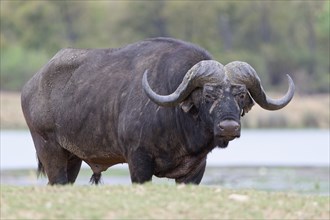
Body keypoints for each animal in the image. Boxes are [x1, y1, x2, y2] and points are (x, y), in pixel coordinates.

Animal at [21, 37, 294, 184]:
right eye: (208, 94)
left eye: (240, 95)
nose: (229, 127)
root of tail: (31, 86)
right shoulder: (139, 162)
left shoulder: (195, 171)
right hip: (50, 150)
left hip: (73, 158)